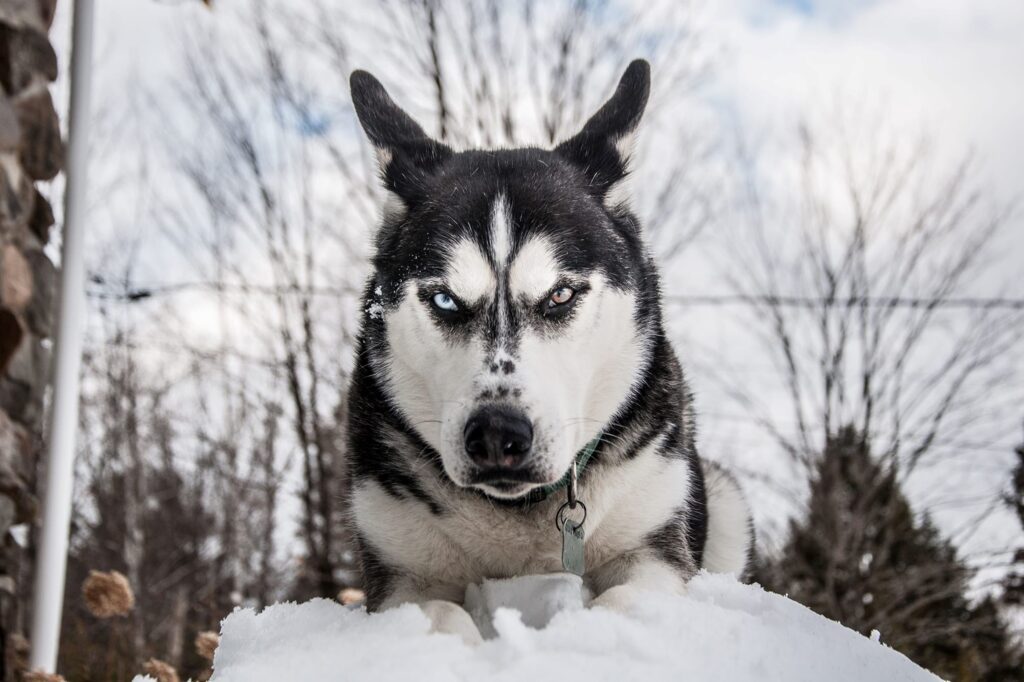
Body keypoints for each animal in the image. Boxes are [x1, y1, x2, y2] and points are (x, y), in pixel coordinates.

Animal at [346, 61, 753, 638]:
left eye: (560, 294)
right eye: (445, 299)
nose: (497, 434)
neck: (517, 515)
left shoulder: (651, 551)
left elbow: (625, 602)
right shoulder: (403, 572)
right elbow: (437, 614)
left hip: (724, 499)